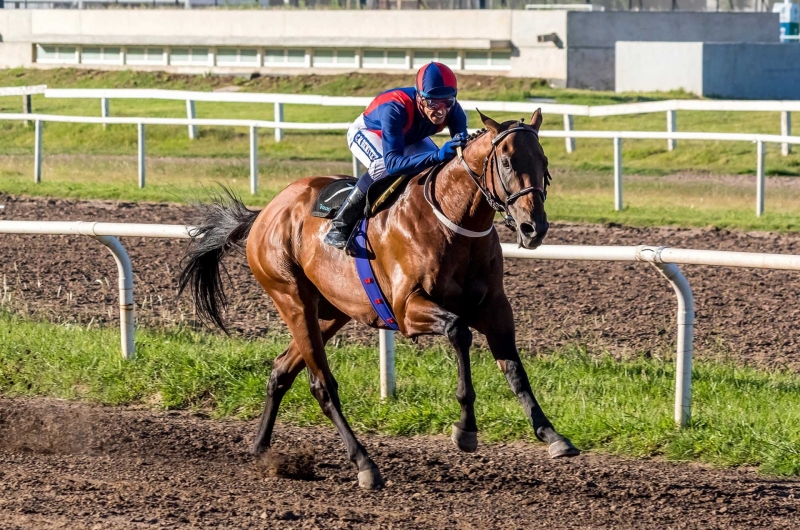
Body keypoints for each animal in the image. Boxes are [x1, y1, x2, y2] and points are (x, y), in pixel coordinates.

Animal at [180, 109, 580, 488]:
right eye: (508, 162)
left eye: (543, 160)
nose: (534, 228)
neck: (452, 222)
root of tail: (265, 212)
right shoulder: (406, 309)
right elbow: (459, 331)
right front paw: (465, 429)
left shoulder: (495, 309)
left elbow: (515, 369)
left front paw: (552, 435)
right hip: (292, 299)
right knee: (322, 385)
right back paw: (365, 464)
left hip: (332, 311)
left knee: (281, 370)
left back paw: (262, 449)